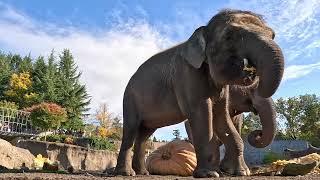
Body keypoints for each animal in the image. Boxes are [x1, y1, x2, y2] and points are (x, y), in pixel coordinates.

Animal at [114, 9, 284, 178]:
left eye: (273, 35)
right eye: (229, 36)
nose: (251, 69)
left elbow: (222, 118)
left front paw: (241, 173)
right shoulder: (186, 74)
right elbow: (201, 115)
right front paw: (210, 174)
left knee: (144, 134)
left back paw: (143, 173)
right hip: (130, 99)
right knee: (131, 130)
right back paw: (126, 173)